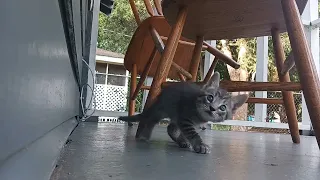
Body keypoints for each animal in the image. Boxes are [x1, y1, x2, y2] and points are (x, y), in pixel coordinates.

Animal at [119, 72, 248, 154]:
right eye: (210, 97)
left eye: (222, 107)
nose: (212, 108)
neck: (199, 116)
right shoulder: (185, 119)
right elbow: (192, 133)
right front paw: (200, 145)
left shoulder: (188, 121)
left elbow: (185, 132)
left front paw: (185, 140)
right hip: (162, 109)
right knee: (151, 120)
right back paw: (145, 135)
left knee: (171, 128)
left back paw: (181, 141)